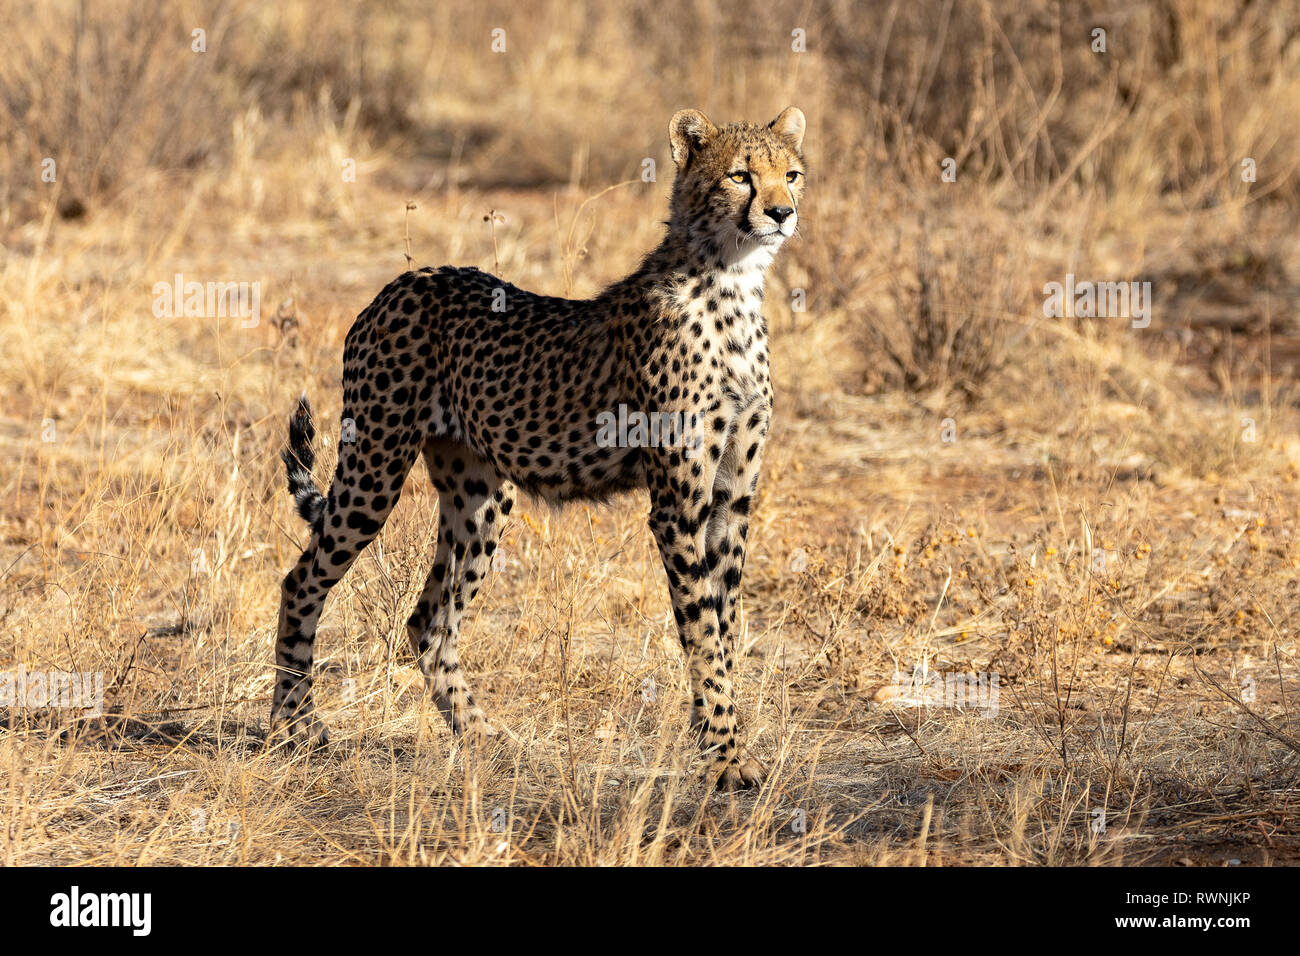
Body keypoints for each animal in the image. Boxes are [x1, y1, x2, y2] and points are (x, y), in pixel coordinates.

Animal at [271, 106, 800, 790]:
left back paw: (485, 739)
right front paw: (727, 757)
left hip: (481, 496)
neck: (731, 280)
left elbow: (725, 625)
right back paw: (293, 726)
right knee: (301, 580)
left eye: (791, 174)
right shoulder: (677, 507)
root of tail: (404, 280)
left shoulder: (731, 502)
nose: (783, 212)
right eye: (741, 176)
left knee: (428, 622)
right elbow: (703, 630)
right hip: (376, 466)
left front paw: (720, 738)